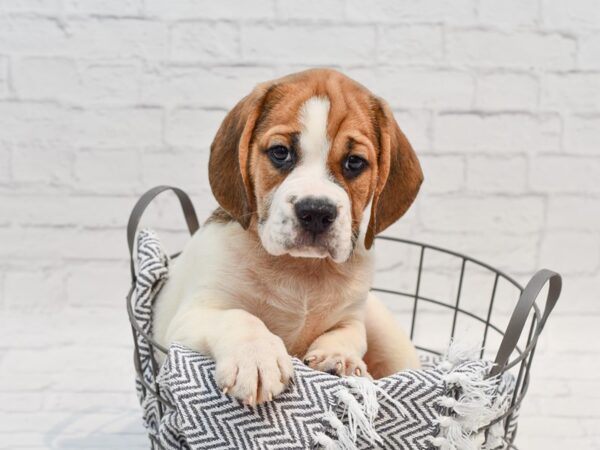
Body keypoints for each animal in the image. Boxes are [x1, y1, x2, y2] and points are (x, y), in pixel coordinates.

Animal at [152, 69, 424, 404]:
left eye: (355, 162)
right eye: (280, 153)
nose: (316, 212)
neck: (302, 270)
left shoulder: (352, 317)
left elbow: (349, 336)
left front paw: (340, 358)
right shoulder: (191, 317)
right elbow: (239, 317)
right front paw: (256, 357)